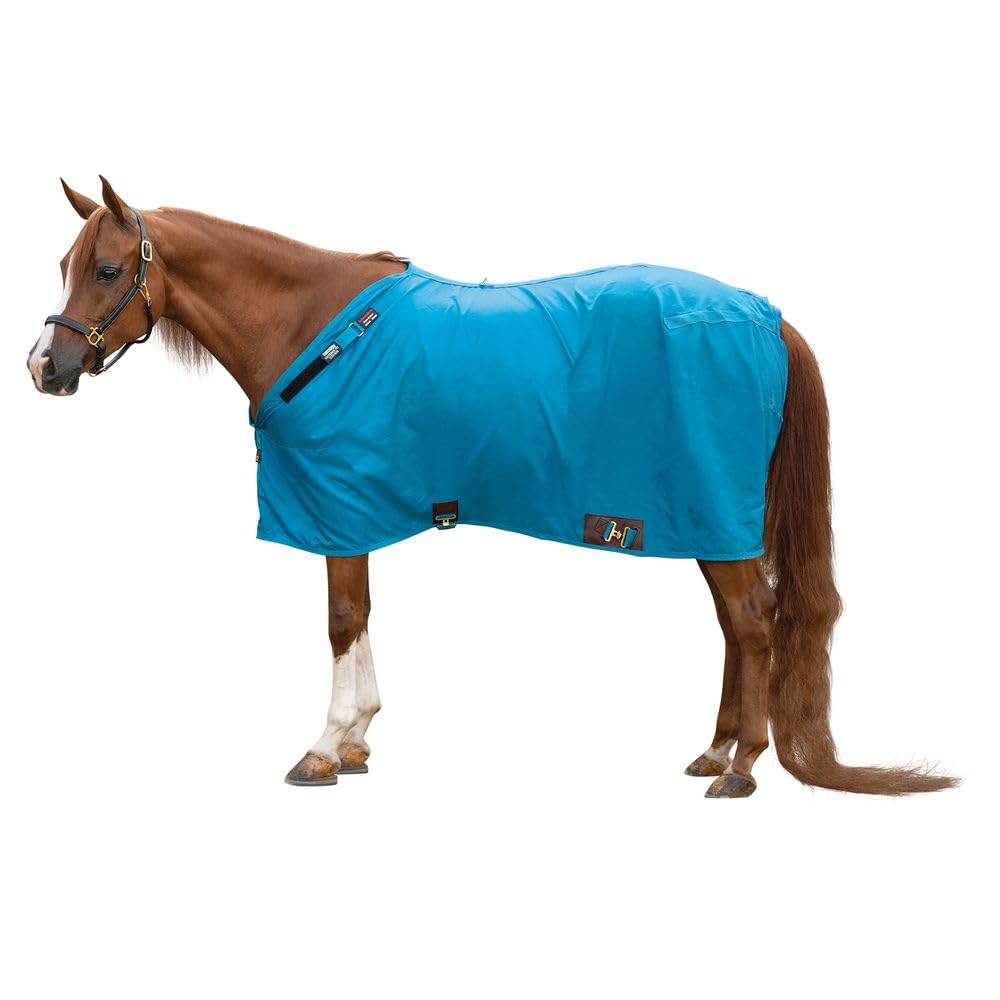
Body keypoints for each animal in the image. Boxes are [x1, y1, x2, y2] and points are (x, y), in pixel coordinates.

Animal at [27, 177, 956, 798]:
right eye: (68, 262)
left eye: (106, 270)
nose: (45, 367)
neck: (314, 329)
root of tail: (767, 317)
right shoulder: (355, 510)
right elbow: (362, 617)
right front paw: (359, 740)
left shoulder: (336, 503)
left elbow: (341, 619)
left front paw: (325, 748)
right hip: (705, 519)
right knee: (737, 627)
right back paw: (717, 751)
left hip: (713, 512)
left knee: (755, 625)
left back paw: (742, 770)